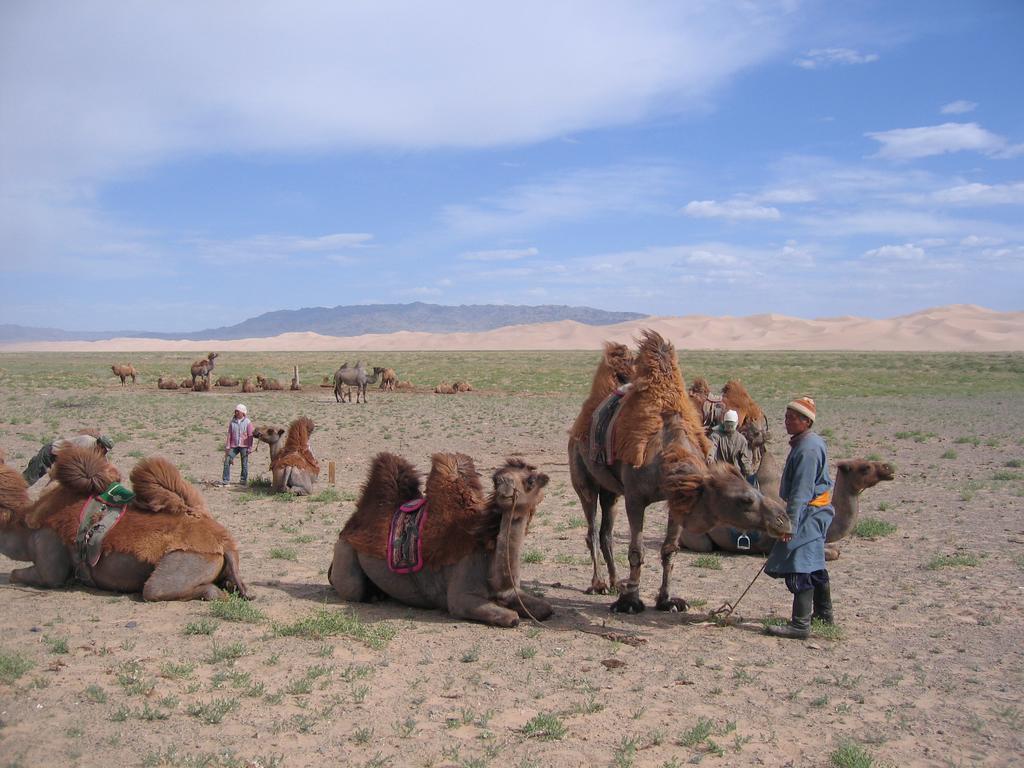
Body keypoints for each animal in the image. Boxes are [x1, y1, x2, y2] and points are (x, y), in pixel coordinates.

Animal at [327, 454, 552, 626]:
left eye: (530, 480)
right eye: (496, 479)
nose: (504, 484)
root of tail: (349, 526)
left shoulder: (509, 591)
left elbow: (546, 608)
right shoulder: (460, 596)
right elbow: (511, 618)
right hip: (345, 552)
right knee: (353, 588)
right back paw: (372, 594)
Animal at [565, 331, 786, 614]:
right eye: (744, 499)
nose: (782, 519)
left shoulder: (677, 496)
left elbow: (669, 549)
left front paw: (667, 600)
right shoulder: (635, 498)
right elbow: (636, 550)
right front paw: (631, 600)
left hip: (610, 491)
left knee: (606, 533)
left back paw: (615, 582)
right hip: (584, 480)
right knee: (592, 529)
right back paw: (599, 583)